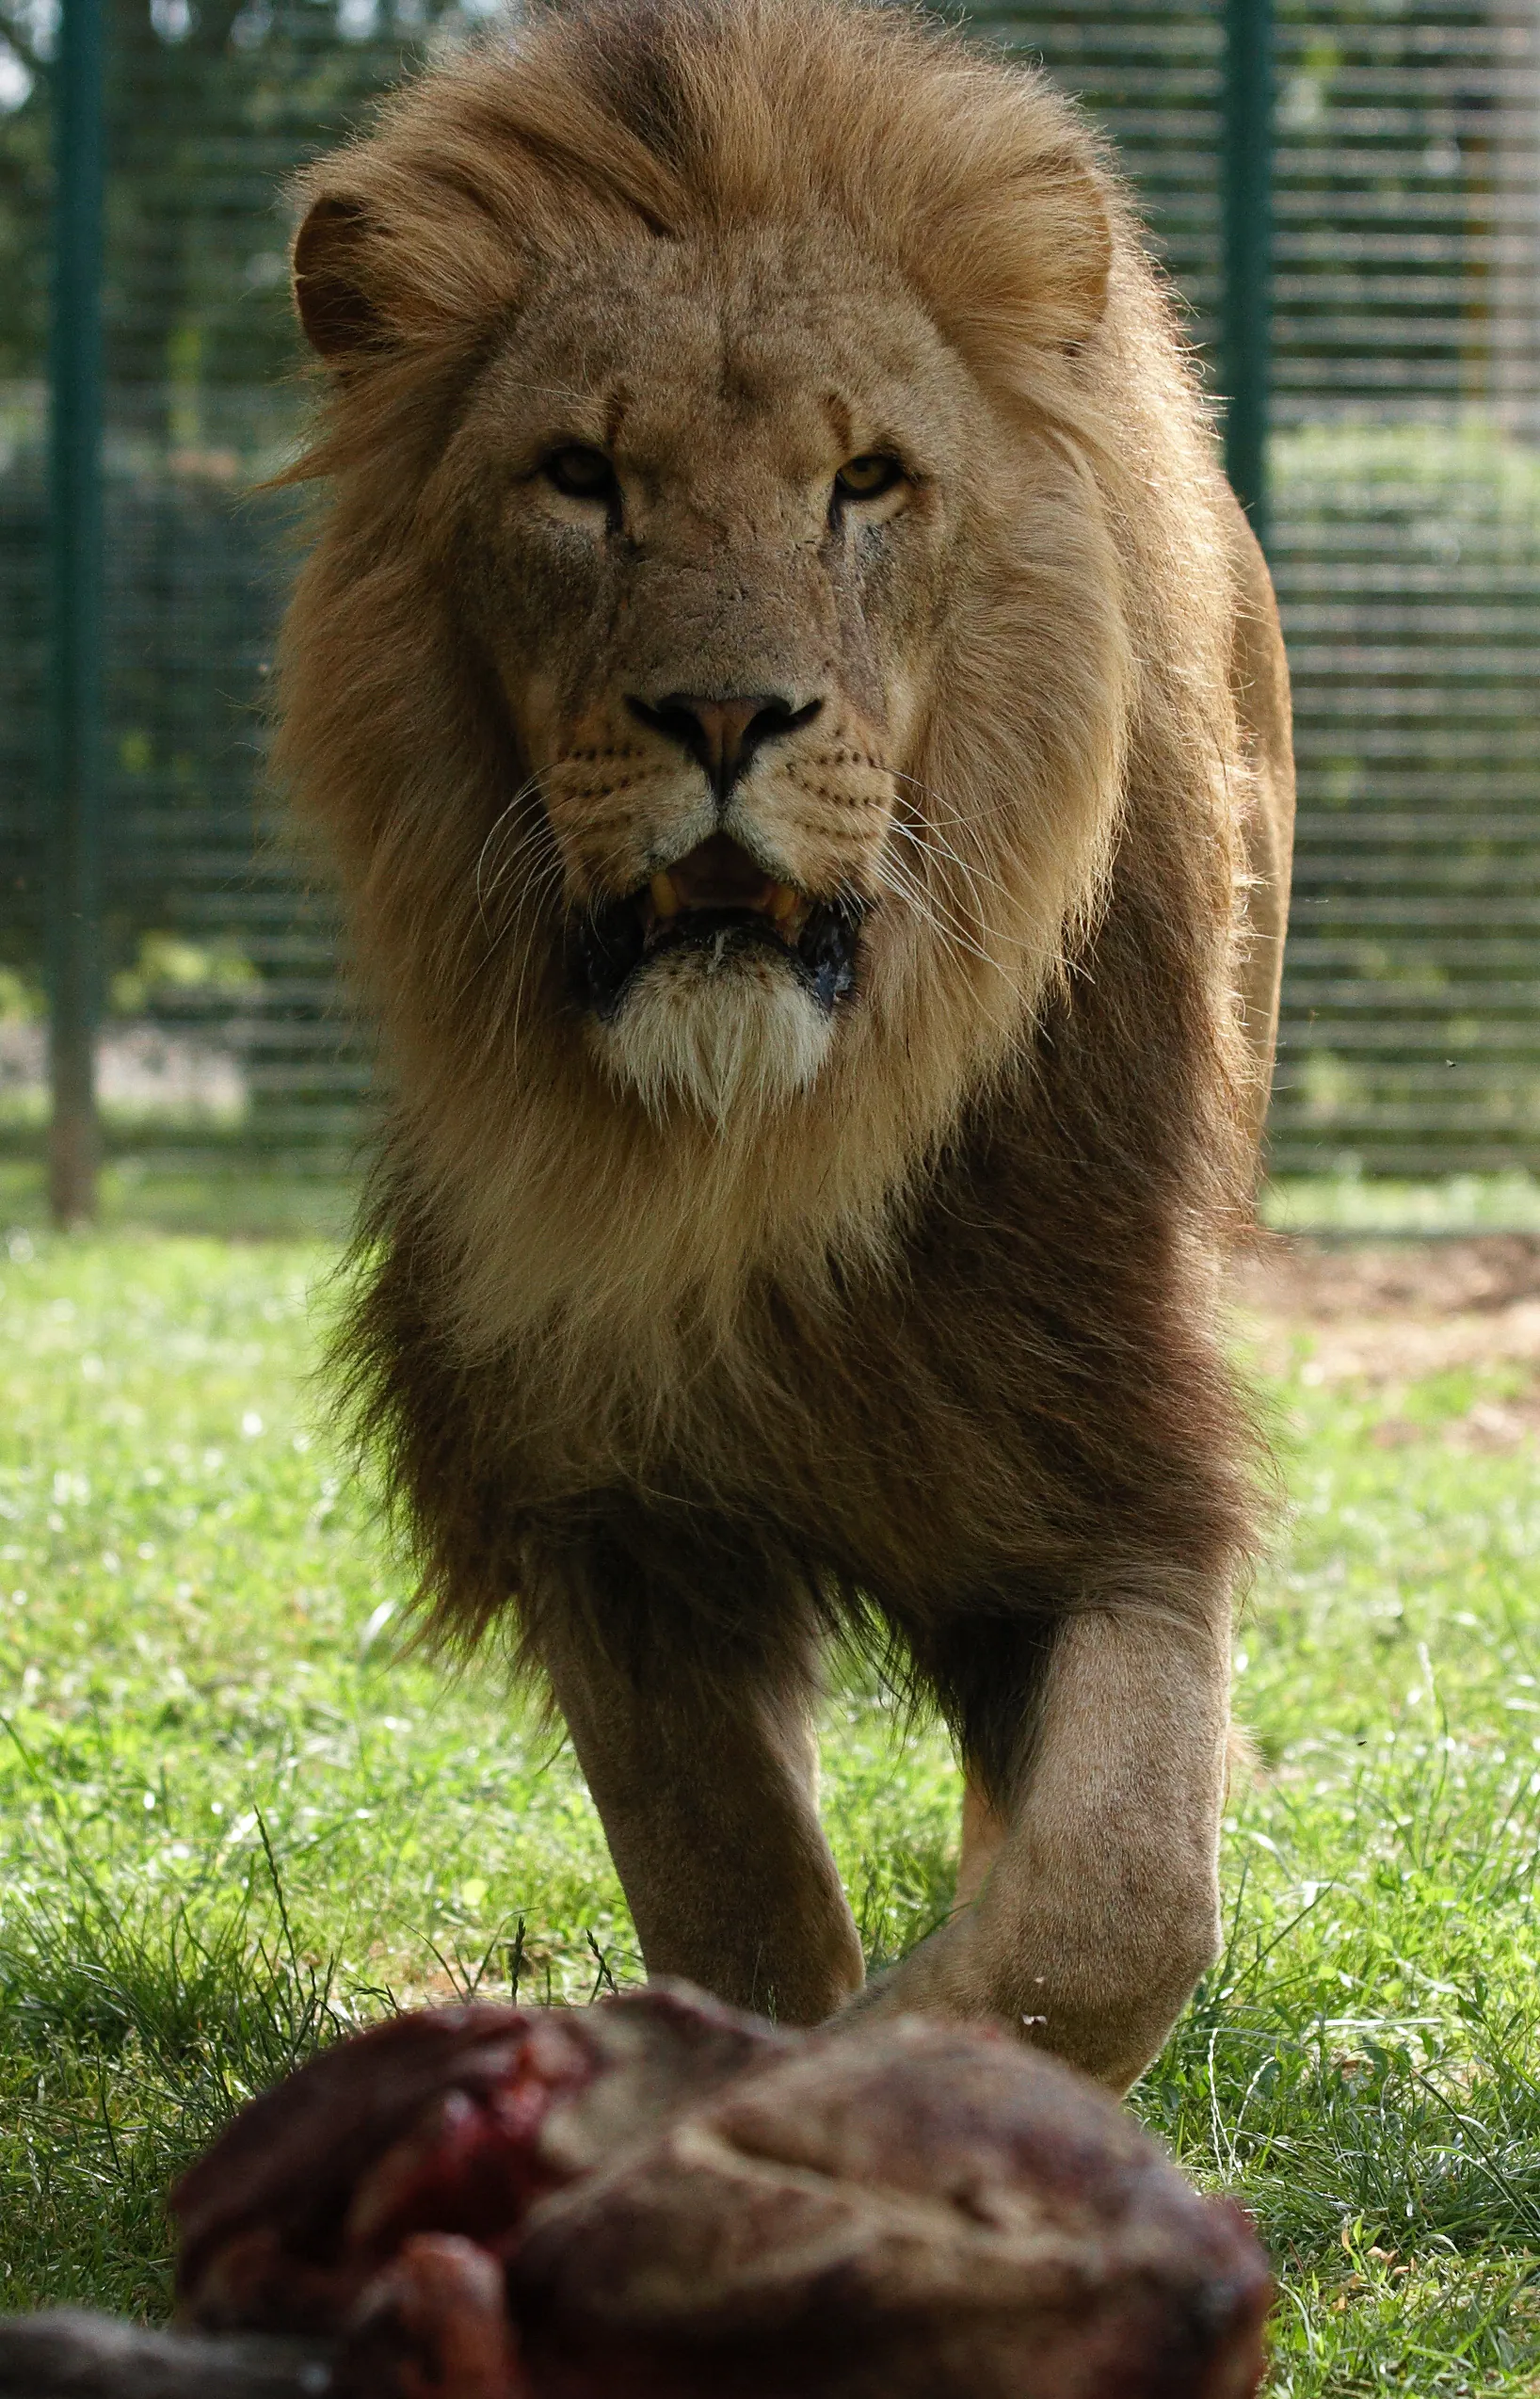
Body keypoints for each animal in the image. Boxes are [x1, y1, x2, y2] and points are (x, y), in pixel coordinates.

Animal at [279, 0, 1294, 2093]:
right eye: (579, 475)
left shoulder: (1105, 1438)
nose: (726, 714)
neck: (746, 1151)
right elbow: (729, 1879)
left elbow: (1114, 1901)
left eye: (869, 481)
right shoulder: (587, 1480)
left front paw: (887, 2078)